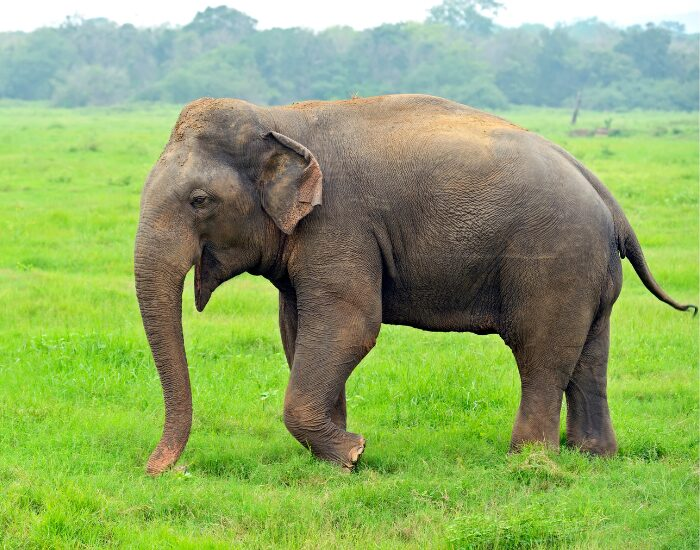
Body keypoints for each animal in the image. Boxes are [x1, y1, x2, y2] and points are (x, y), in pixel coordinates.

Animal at [134, 94, 695, 475]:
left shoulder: (339, 223)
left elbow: (351, 325)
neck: (280, 118)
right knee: (590, 355)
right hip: (591, 271)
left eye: (200, 200)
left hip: (555, 261)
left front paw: (353, 454)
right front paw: (339, 456)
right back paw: (593, 456)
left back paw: (527, 461)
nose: (159, 470)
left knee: (541, 352)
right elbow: (296, 329)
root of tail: (603, 193)